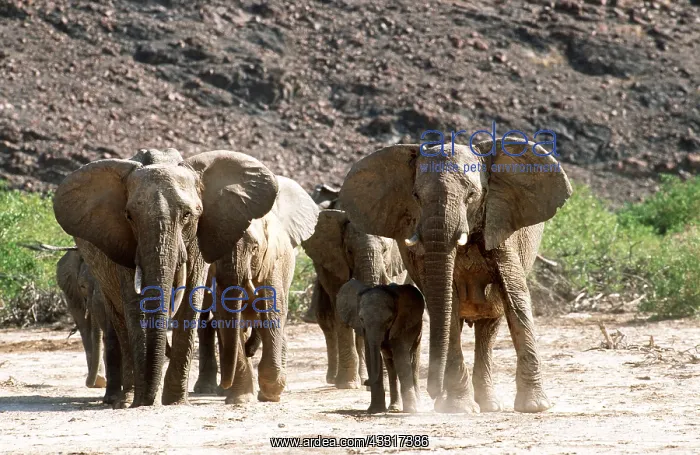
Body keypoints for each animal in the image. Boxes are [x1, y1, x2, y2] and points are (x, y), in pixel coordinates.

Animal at [301, 209, 408, 389]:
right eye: (349, 251)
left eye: (385, 250)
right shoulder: (336, 265)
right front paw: (347, 385)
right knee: (326, 319)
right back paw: (334, 379)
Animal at [337, 279, 424, 414]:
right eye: (361, 318)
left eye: (389, 320)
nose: (365, 381)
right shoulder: (365, 330)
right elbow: (370, 356)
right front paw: (375, 410)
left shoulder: (400, 324)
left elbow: (401, 358)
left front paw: (411, 411)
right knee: (390, 364)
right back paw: (394, 408)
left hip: (418, 330)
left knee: (413, 362)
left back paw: (416, 407)